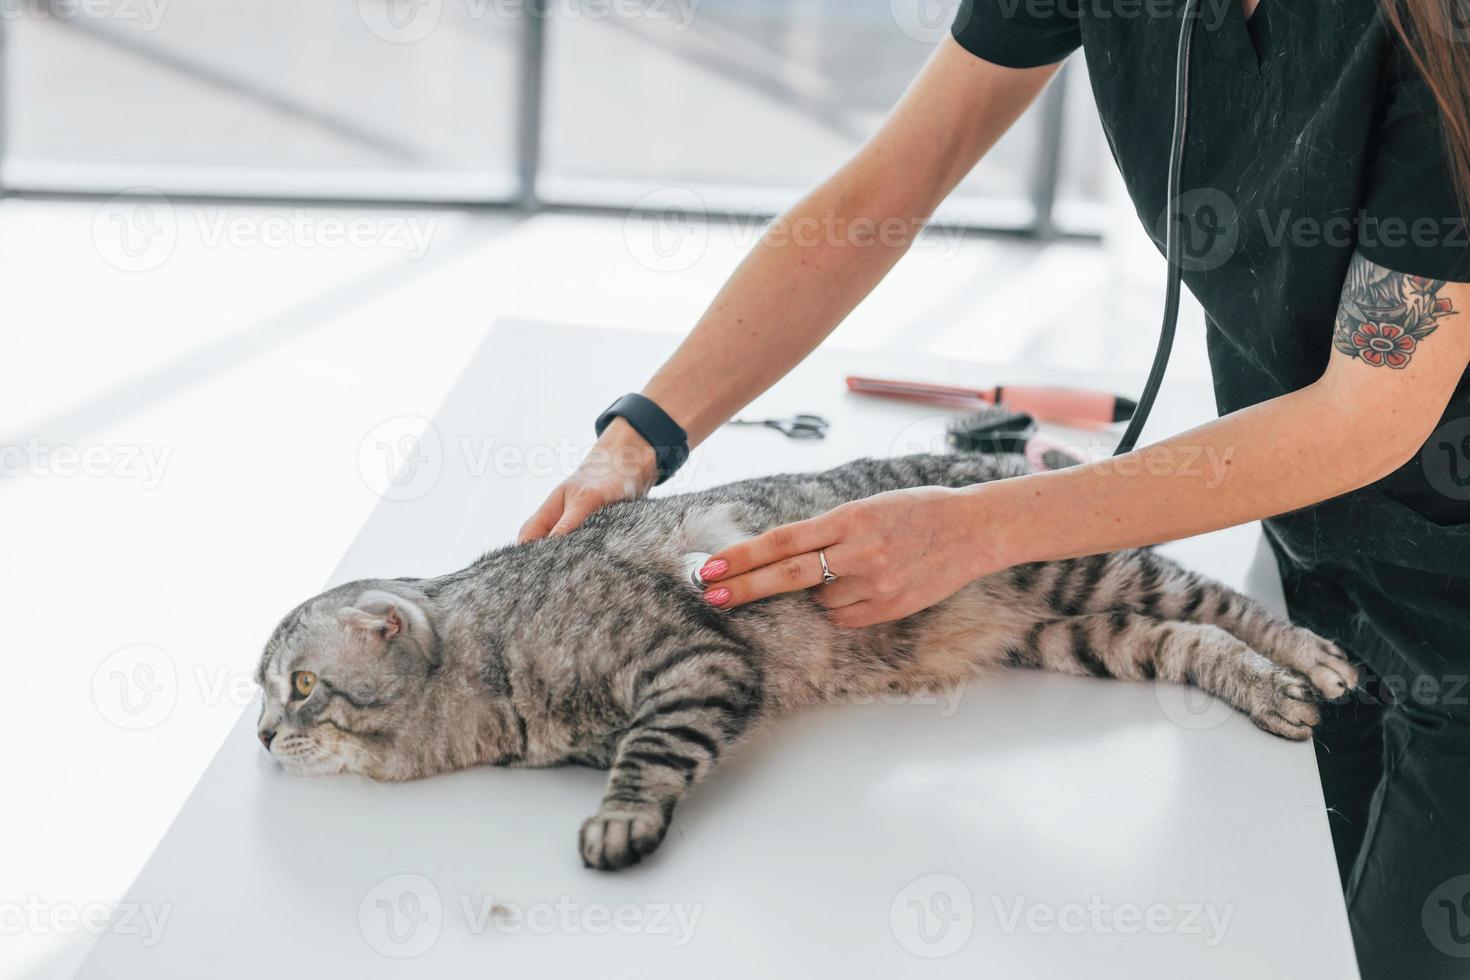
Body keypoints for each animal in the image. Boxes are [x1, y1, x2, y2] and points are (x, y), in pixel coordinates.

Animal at [255, 455, 1352, 869]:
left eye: (300, 688)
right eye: (262, 697)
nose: (263, 735)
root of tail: (1004, 460)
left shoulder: (694, 665)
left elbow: (649, 755)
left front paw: (619, 822)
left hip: (1085, 571)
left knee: (1222, 604)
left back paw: (1315, 663)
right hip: (1079, 633)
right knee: (1193, 640)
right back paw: (1273, 693)